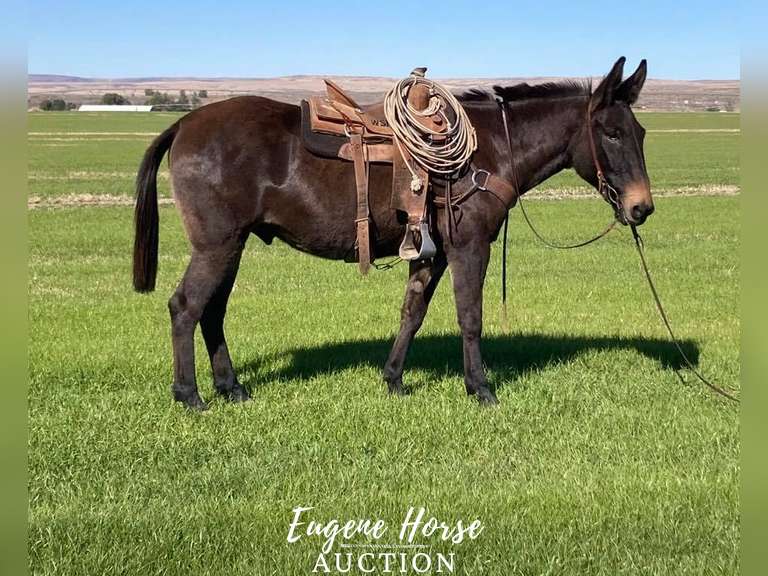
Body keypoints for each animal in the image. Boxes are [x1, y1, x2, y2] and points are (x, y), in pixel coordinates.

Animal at [133, 57, 653, 410]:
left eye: (641, 132)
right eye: (610, 132)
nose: (641, 207)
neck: (491, 149)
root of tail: (185, 123)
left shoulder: (432, 253)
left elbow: (412, 312)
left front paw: (394, 379)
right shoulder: (468, 247)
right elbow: (470, 317)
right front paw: (480, 388)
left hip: (232, 246)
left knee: (212, 312)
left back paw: (231, 387)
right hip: (216, 246)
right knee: (186, 307)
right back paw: (190, 394)